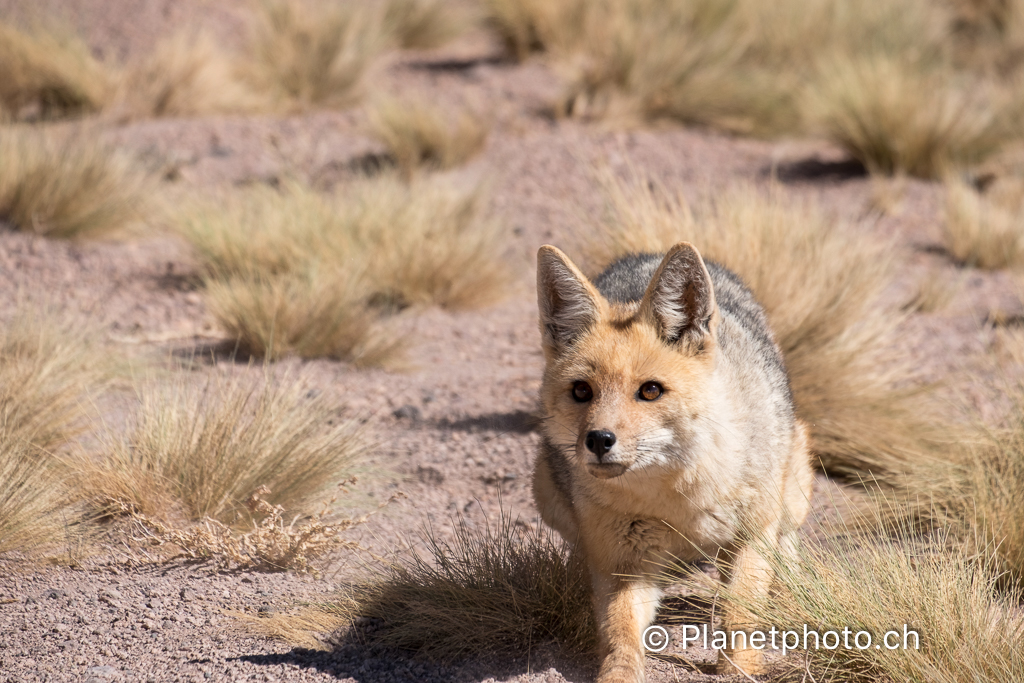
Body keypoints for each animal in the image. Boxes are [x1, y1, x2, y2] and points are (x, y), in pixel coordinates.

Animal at [532, 242, 811, 679]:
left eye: (650, 391)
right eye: (581, 391)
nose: (598, 440)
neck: (679, 501)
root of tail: (646, 253)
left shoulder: (752, 534)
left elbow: (741, 611)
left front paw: (740, 667)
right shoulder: (624, 562)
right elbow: (620, 629)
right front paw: (618, 674)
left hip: (792, 495)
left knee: (785, 549)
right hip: (550, 498)